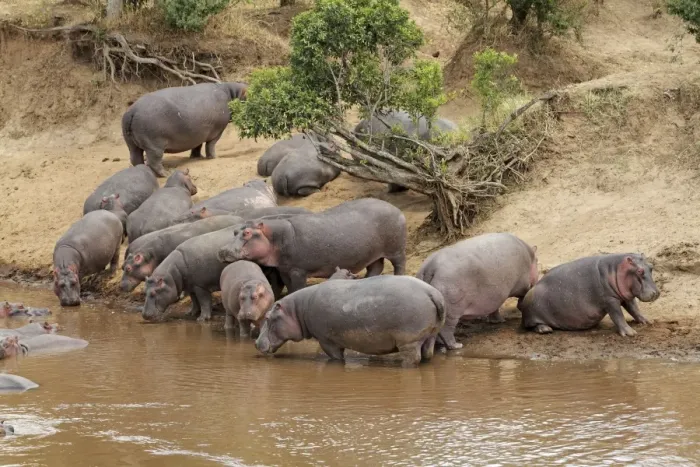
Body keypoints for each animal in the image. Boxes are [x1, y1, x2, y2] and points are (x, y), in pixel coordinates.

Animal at [142, 226, 282, 323]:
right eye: (144, 292)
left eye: (153, 293)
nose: (144, 315)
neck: (172, 275)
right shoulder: (191, 286)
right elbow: (194, 301)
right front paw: (191, 313)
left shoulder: (200, 286)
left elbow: (204, 301)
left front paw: (202, 318)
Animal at [217, 199, 407, 293]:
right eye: (235, 231)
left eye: (247, 233)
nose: (222, 250)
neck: (273, 237)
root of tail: (395, 208)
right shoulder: (285, 270)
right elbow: (290, 287)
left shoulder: (298, 270)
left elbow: (298, 287)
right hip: (373, 254)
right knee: (375, 268)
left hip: (396, 250)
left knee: (399, 265)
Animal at [255, 276, 445, 367]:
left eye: (267, 317)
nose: (256, 342)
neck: (297, 310)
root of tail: (432, 293)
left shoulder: (327, 341)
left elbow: (336, 358)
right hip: (430, 335)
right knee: (427, 354)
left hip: (409, 341)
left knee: (413, 358)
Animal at [518, 253, 660, 336]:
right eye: (640, 271)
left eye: (651, 266)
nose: (657, 293)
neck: (616, 269)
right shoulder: (610, 300)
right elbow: (618, 316)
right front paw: (631, 333)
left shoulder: (626, 295)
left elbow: (635, 310)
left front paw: (648, 321)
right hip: (532, 312)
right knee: (532, 325)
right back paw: (545, 329)